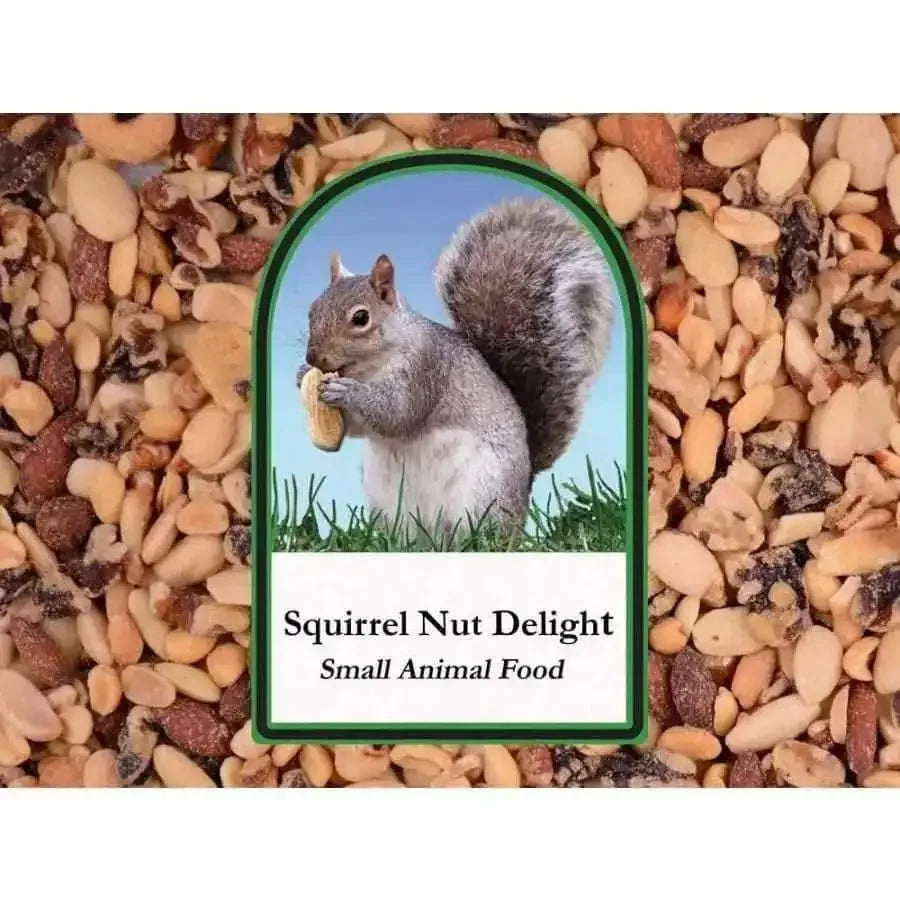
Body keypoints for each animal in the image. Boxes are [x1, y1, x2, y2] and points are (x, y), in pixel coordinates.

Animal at [299, 196, 614, 534]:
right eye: (312, 309)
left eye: (361, 318)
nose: (312, 358)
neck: (371, 368)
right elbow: (358, 428)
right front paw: (302, 376)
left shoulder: (425, 370)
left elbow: (397, 413)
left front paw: (347, 392)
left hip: (481, 492)